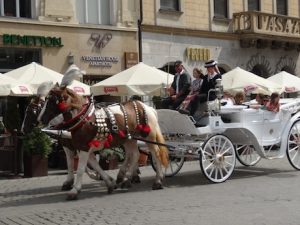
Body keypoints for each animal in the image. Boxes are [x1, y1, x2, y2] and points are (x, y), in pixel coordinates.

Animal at [37, 84, 169, 199]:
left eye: (52, 101)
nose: (40, 119)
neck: (84, 119)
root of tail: (147, 107)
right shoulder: (82, 147)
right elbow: (93, 166)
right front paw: (109, 182)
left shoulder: (83, 148)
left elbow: (80, 169)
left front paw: (74, 190)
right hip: (129, 139)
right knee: (134, 154)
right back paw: (125, 179)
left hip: (149, 137)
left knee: (155, 155)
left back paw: (158, 180)